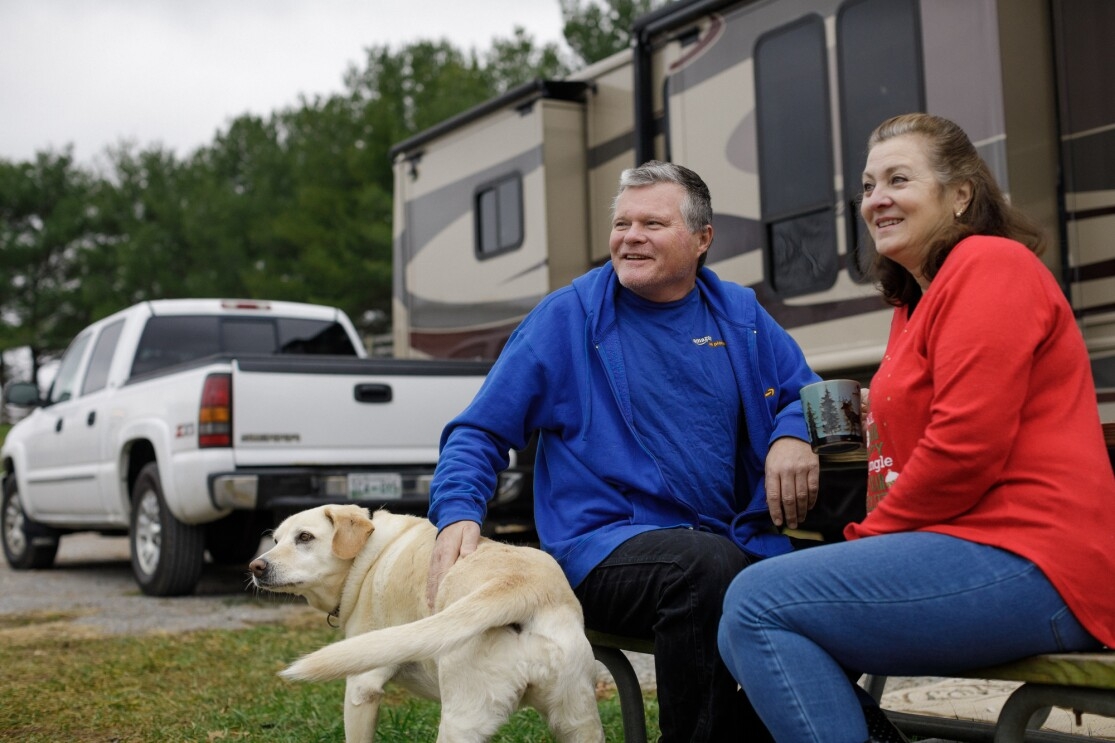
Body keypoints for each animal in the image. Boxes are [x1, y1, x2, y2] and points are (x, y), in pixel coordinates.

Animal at [249, 504, 606, 740]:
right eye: (276, 540)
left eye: (305, 537)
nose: (256, 566)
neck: (367, 558)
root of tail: (523, 586)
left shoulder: (362, 689)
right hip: (578, 721)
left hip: (461, 722)